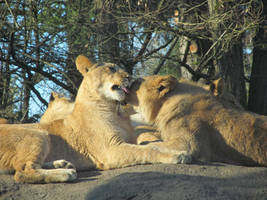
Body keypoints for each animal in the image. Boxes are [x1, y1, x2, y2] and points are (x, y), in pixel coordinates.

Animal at [0, 55, 188, 184]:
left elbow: (153, 144)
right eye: (111, 68)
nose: (129, 76)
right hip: (37, 134)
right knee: (22, 171)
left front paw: (175, 149)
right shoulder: (111, 149)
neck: (115, 110)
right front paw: (176, 155)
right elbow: (146, 150)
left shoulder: (131, 139)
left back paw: (62, 164)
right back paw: (65, 173)